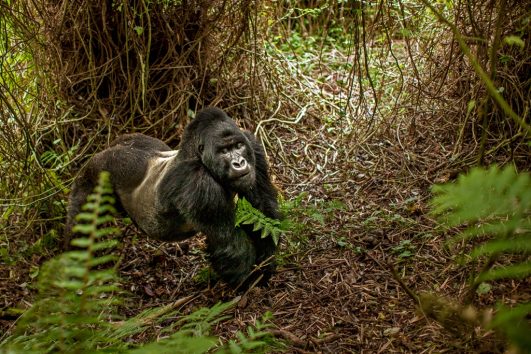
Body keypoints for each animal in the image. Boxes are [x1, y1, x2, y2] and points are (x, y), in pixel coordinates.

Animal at [66, 107, 280, 288]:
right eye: (224, 151)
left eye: (238, 146)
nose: (239, 163)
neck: (195, 154)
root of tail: (107, 148)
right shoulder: (197, 181)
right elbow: (230, 244)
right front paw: (248, 283)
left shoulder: (252, 145)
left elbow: (262, 212)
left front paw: (266, 264)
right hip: (97, 170)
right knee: (81, 226)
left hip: (138, 142)